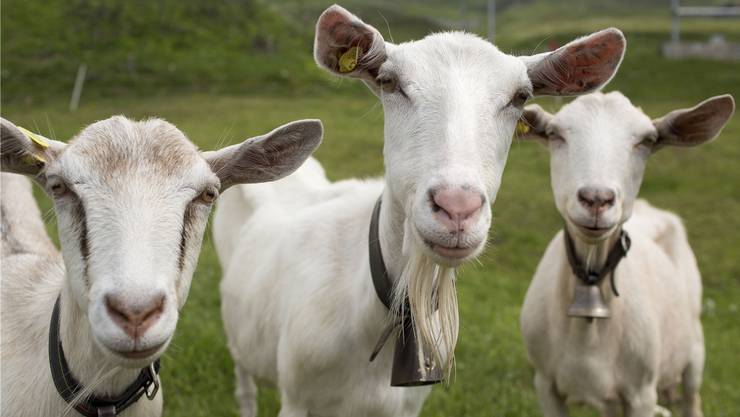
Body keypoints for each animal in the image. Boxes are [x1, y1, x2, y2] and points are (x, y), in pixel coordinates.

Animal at [516, 92, 736, 416]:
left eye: (647, 140)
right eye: (555, 134)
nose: (597, 198)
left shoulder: (641, 392)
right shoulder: (545, 383)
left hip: (695, 345)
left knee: (692, 396)